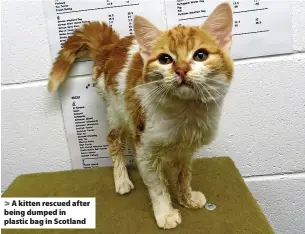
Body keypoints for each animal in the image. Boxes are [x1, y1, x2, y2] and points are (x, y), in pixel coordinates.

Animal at [47, 2, 233, 229]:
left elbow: (184, 176)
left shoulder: (185, 151)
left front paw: (186, 199)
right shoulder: (146, 145)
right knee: (114, 140)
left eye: (200, 55)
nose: (181, 69)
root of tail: (112, 46)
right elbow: (157, 184)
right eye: (165, 59)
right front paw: (166, 213)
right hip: (115, 109)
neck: (185, 112)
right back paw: (121, 180)